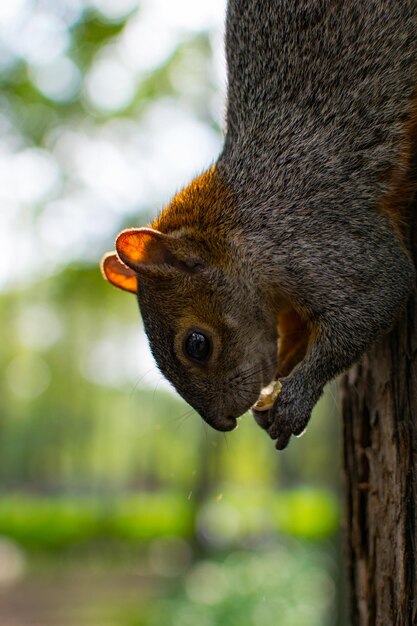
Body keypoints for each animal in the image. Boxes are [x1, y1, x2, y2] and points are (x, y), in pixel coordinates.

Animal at [101, 0, 416, 448]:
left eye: (196, 344)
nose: (223, 423)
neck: (239, 228)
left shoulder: (319, 237)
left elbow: (376, 296)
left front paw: (297, 397)